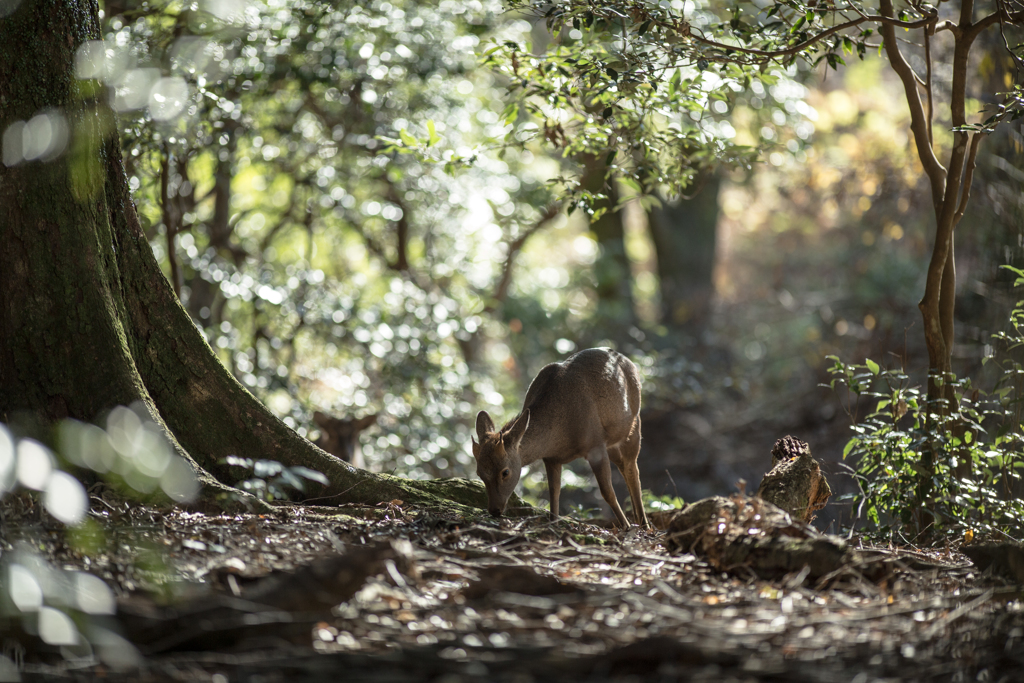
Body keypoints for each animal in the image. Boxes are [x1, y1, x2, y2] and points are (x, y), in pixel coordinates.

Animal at [471, 348, 647, 528]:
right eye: (479, 473)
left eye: (505, 472)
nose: (494, 510)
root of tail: (628, 361)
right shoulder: (551, 458)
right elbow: (554, 494)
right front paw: (553, 523)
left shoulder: (595, 445)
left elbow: (607, 492)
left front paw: (625, 526)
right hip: (612, 444)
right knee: (624, 466)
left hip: (634, 425)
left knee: (633, 470)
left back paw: (643, 525)